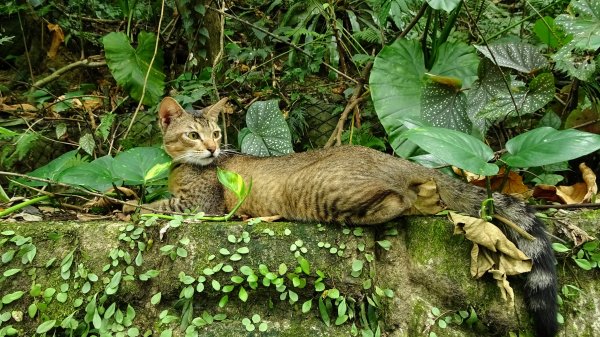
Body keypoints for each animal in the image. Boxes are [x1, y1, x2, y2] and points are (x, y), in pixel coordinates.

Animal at [145, 96, 556, 334]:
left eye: (215, 133)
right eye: (193, 135)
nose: (214, 148)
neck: (183, 168)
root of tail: (389, 158)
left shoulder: (201, 205)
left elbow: (148, 206)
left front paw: (139, 207)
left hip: (321, 191)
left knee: (398, 201)